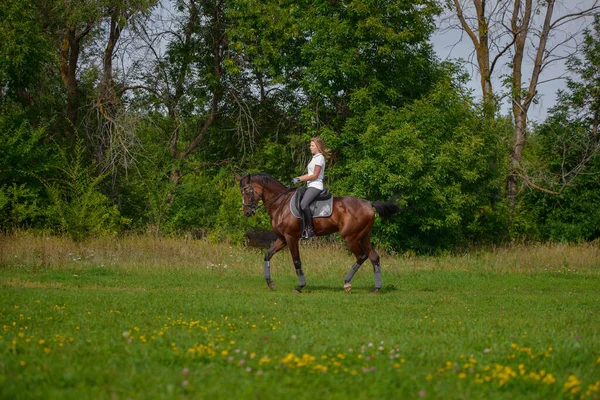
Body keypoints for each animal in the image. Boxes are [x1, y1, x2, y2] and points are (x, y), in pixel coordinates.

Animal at [237, 173, 400, 294]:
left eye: (247, 191)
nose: (247, 212)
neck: (281, 204)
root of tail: (369, 203)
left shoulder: (291, 237)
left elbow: (296, 261)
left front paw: (300, 286)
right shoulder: (282, 238)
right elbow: (267, 255)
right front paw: (270, 283)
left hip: (351, 237)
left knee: (361, 256)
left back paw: (347, 283)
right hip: (364, 237)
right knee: (374, 257)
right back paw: (376, 288)